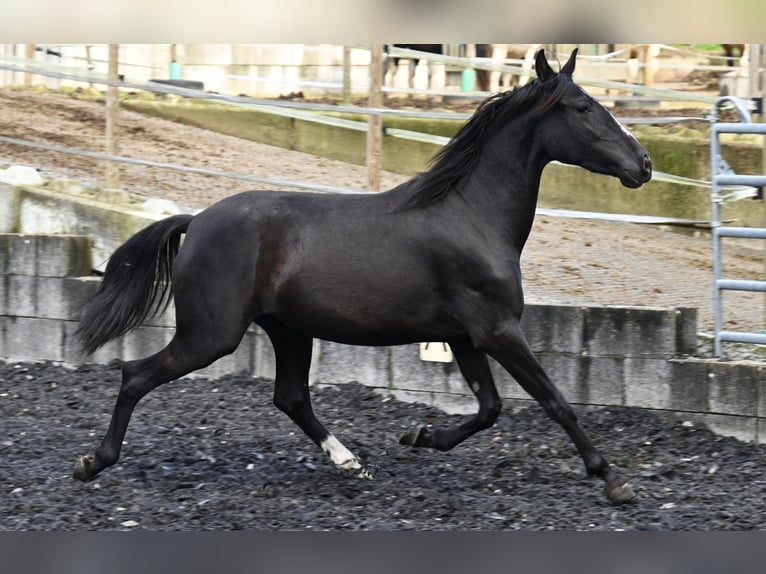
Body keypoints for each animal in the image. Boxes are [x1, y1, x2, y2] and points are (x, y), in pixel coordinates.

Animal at [73, 49, 652, 504]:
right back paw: (93, 462)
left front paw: (419, 437)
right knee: (136, 375)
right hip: (211, 335)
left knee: (291, 398)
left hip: (288, 330)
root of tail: (195, 221)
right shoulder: (498, 330)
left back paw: (351, 462)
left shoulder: (465, 336)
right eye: (584, 108)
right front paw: (611, 479)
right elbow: (555, 402)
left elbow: (489, 408)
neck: (473, 214)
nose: (643, 164)